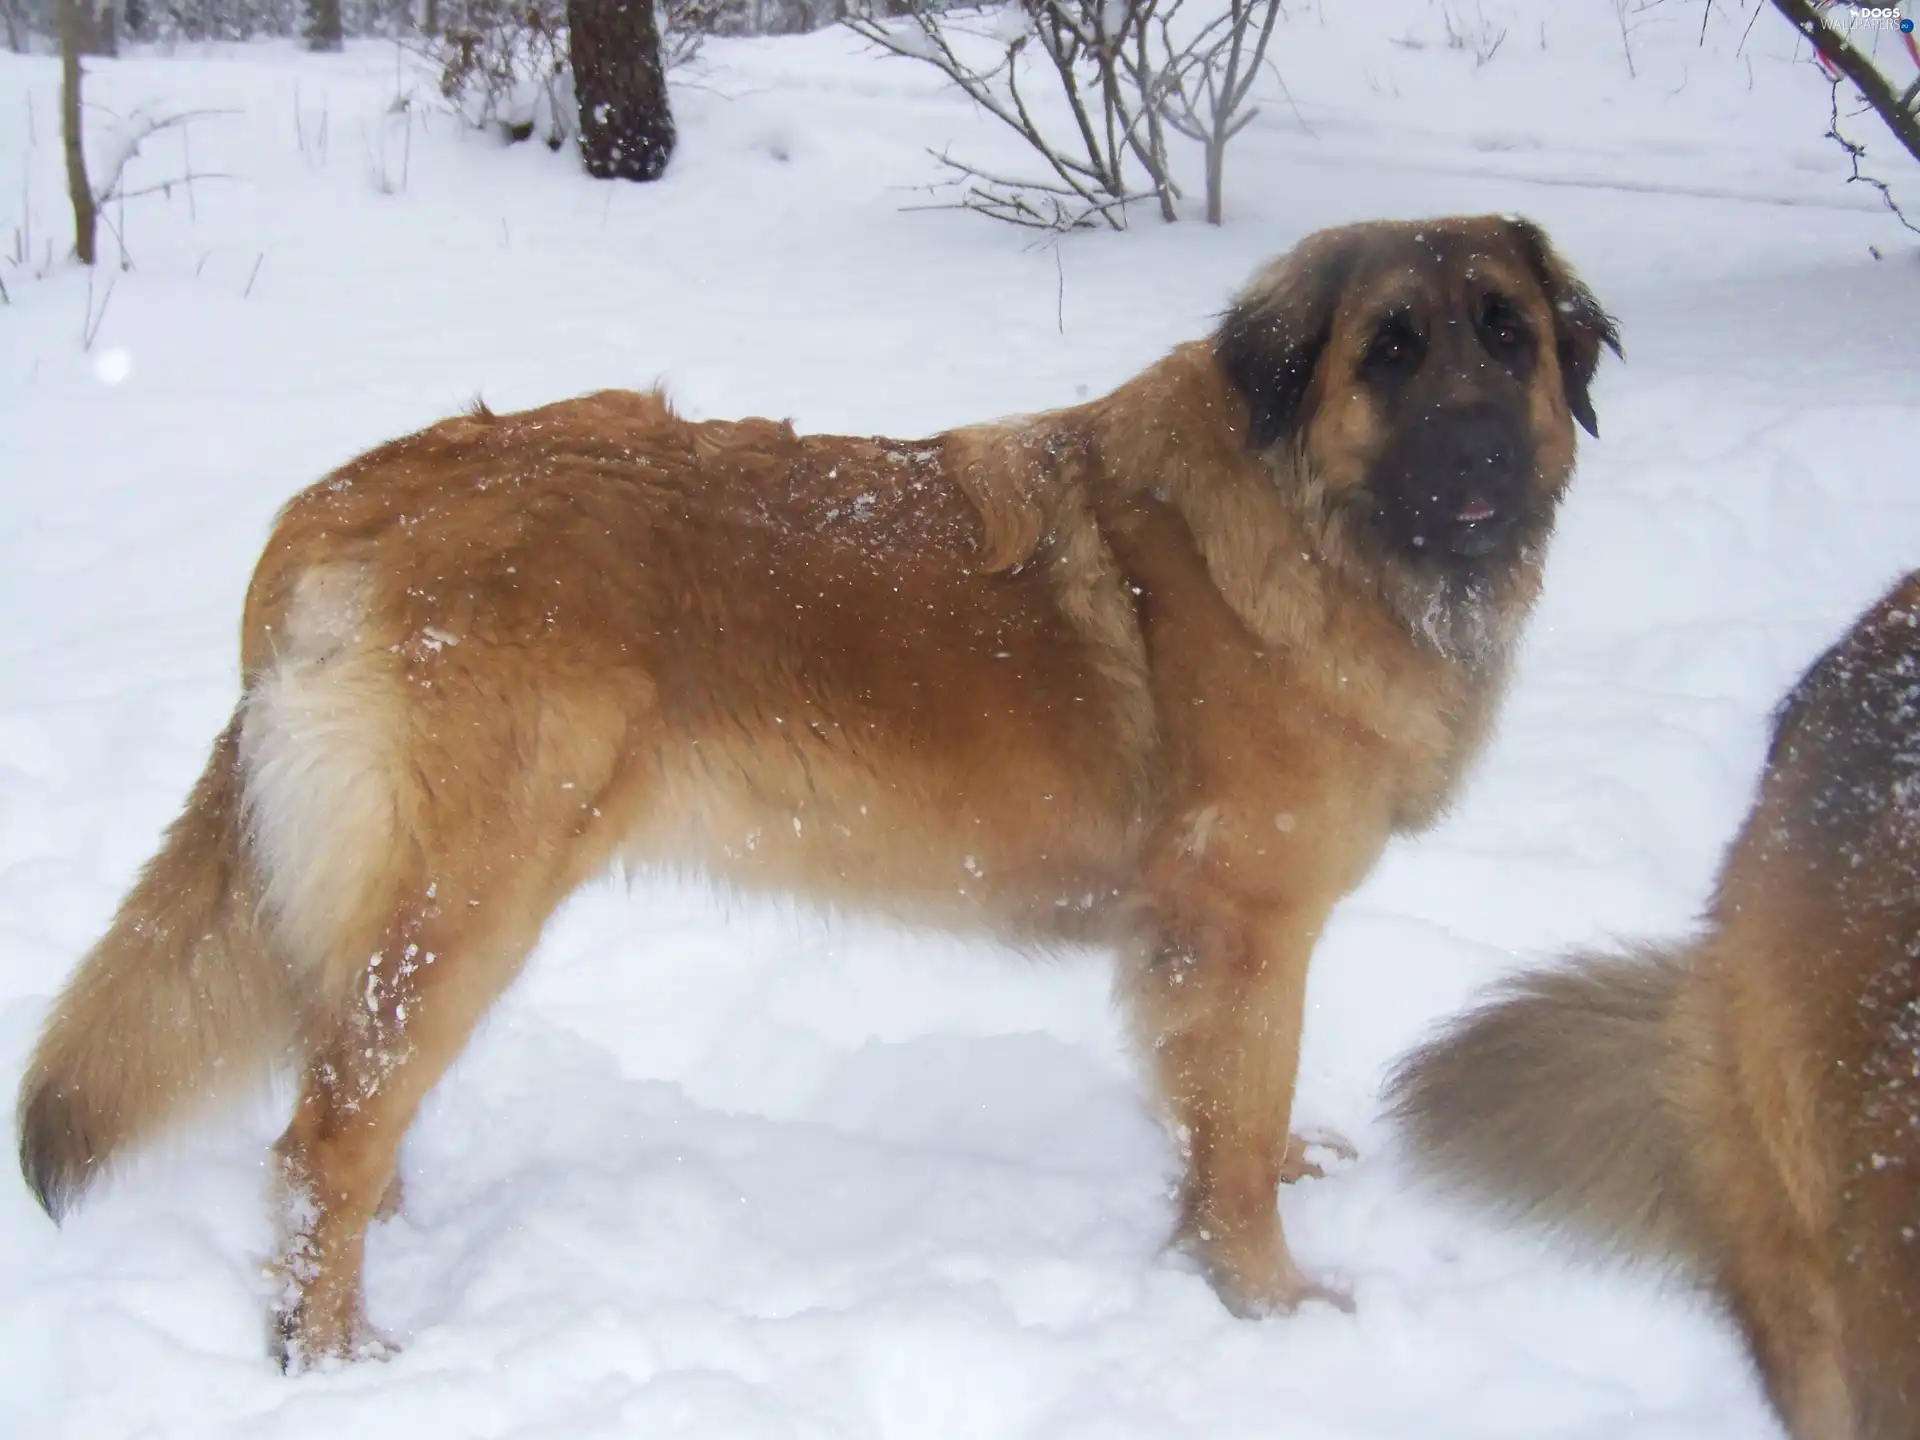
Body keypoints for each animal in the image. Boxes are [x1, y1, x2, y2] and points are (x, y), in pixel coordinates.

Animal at [18, 216, 1605, 1374]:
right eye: (1388, 353)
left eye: (1507, 338)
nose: (1479, 450)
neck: (1319, 527)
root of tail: (354, 494)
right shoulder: (1242, 927)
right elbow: (1230, 1142)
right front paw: (1269, 1305)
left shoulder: (1218, 952)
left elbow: (1229, 1116)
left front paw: (1276, 1181)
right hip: (465, 902)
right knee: (323, 1133)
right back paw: (334, 1349)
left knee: (337, 1088)